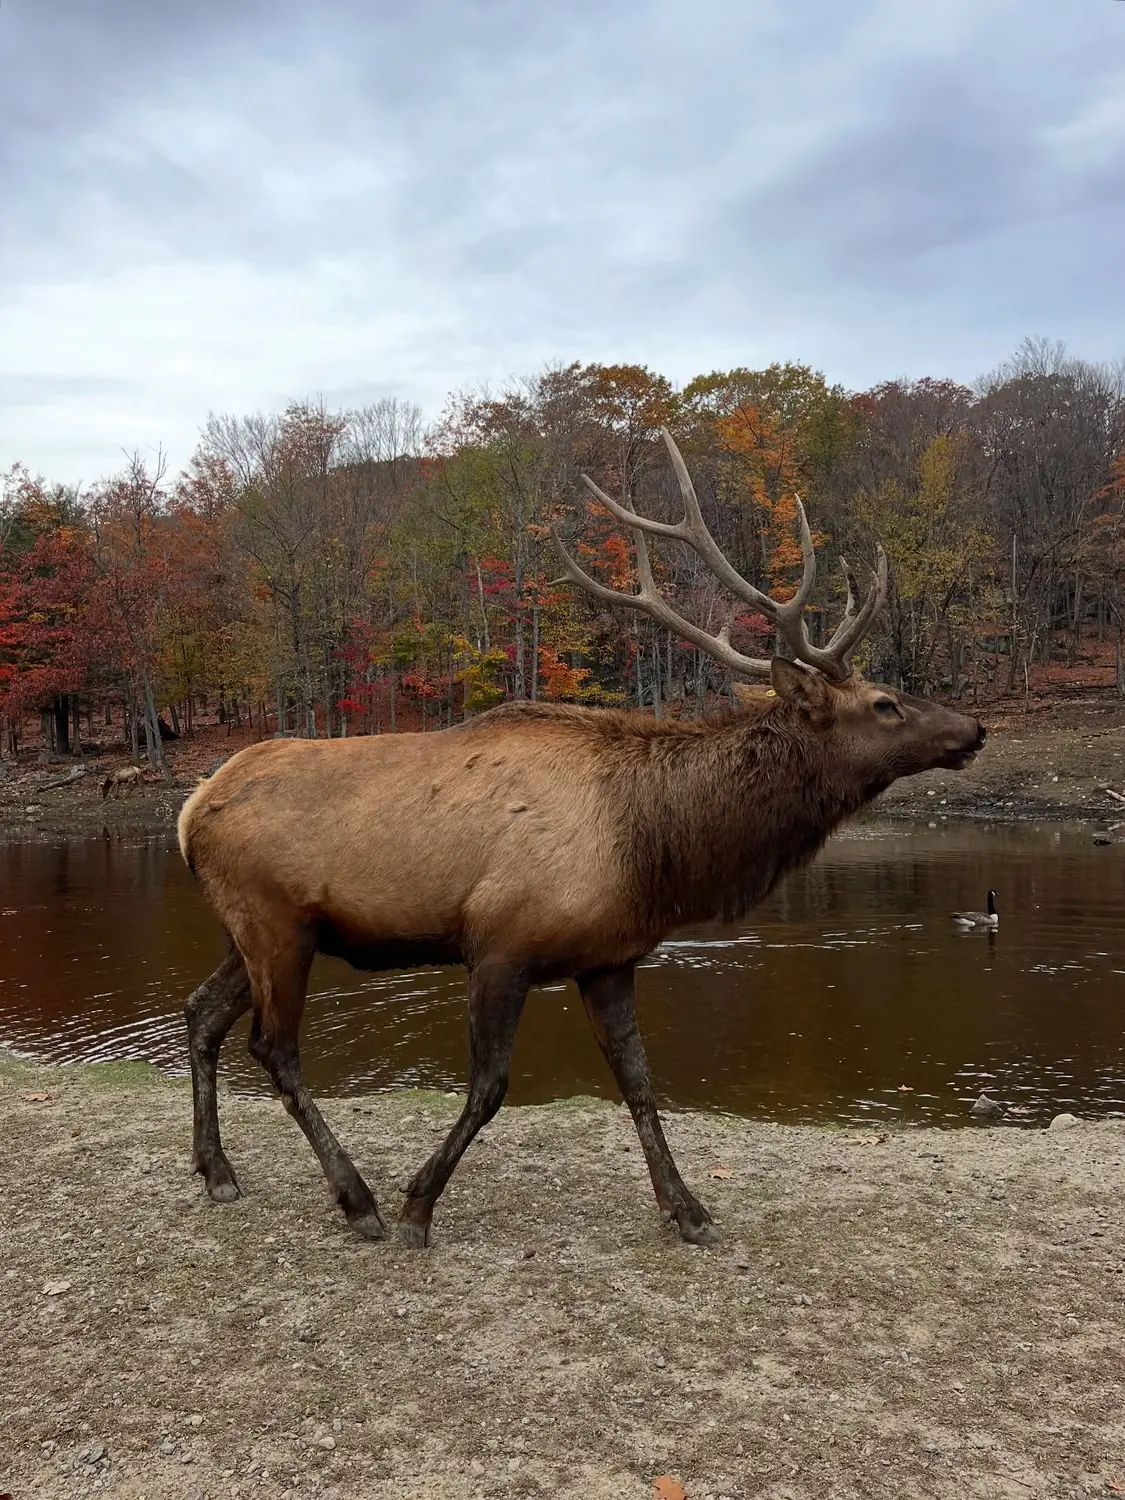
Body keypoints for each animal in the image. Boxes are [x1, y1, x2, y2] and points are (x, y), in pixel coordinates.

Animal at [178, 430, 985, 1249]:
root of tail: (190, 808)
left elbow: (640, 1082)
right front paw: (417, 1204)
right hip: (275, 922)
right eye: (884, 703)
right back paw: (356, 1199)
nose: (975, 729)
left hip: (256, 932)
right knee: (273, 1048)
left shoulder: (609, 957)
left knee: (201, 1013)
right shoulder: (500, 945)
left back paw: (217, 1171)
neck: (655, 849)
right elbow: (490, 1088)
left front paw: (687, 1208)